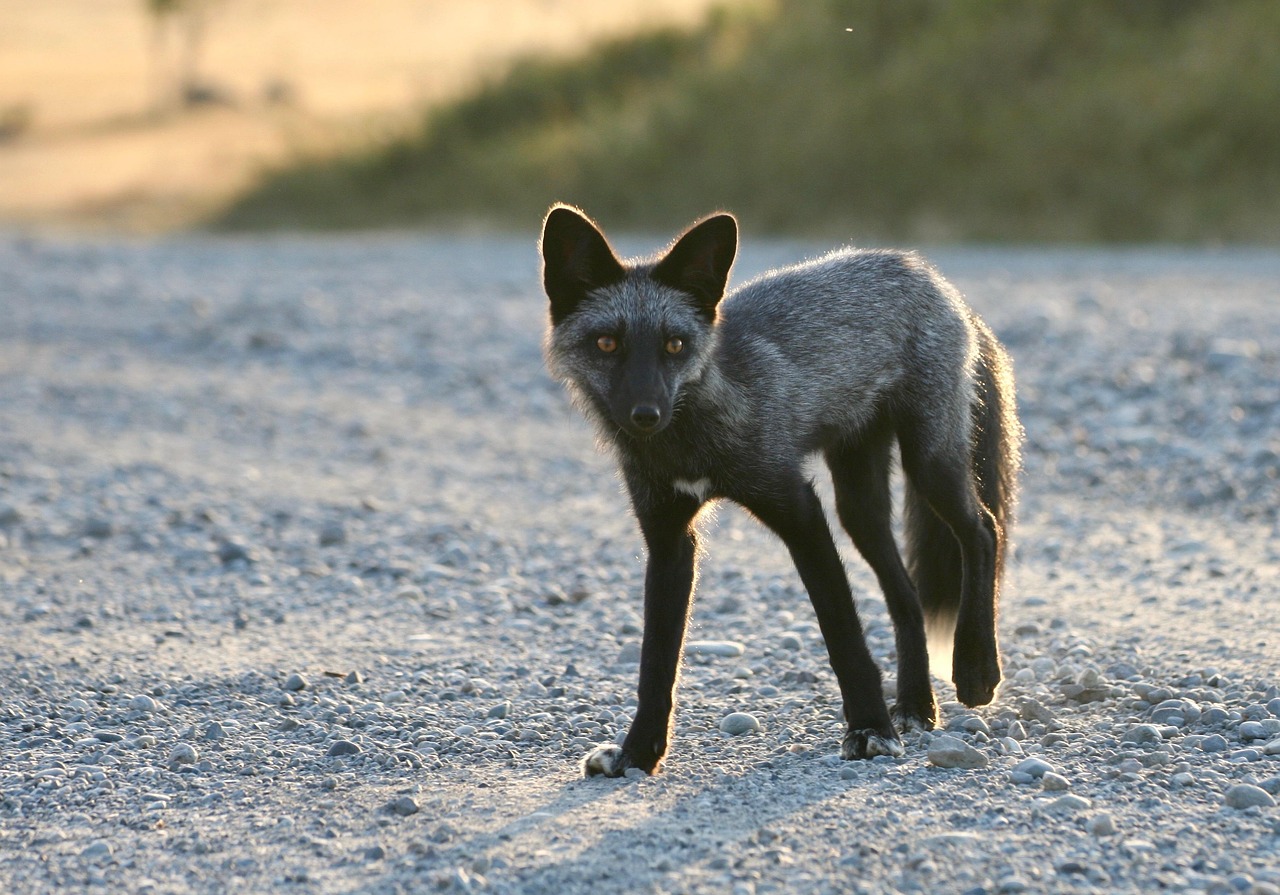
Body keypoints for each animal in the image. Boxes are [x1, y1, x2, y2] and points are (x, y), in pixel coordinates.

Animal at [539, 204, 1022, 776]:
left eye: (674, 345)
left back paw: (975, 669)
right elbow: (655, 663)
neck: (691, 439)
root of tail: (935, 279)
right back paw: (915, 706)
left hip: (930, 467)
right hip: (859, 506)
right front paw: (639, 753)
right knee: (906, 596)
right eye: (607, 344)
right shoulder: (668, 537)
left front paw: (869, 729)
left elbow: (842, 631)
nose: (645, 415)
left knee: (982, 531)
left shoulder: (798, 508)